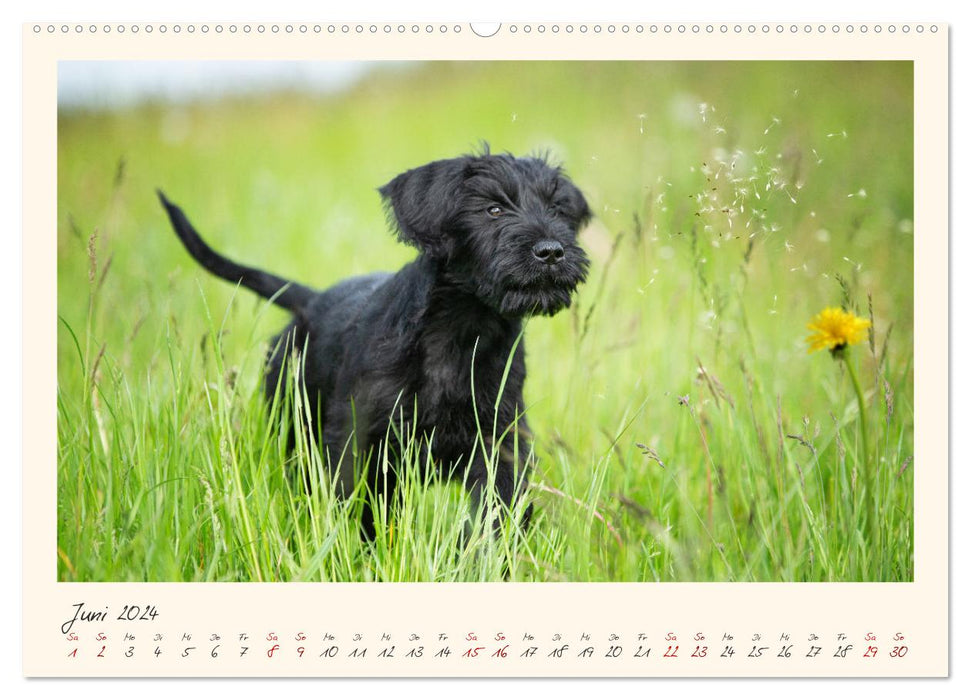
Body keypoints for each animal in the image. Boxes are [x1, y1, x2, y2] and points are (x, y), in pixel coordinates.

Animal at [158, 150, 592, 540]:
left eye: (558, 210)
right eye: (493, 209)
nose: (552, 251)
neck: (462, 330)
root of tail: (310, 300)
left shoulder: (500, 441)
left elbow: (497, 511)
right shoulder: (361, 440)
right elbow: (360, 508)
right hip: (293, 424)